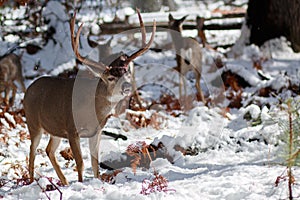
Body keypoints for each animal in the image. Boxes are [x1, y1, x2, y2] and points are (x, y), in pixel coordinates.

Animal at [24, 9, 156, 186]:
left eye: (126, 73)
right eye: (110, 78)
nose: (127, 86)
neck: (91, 110)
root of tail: (28, 89)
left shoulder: (96, 131)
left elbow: (95, 163)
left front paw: (96, 182)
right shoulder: (72, 129)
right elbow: (80, 162)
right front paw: (81, 184)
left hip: (55, 129)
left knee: (49, 150)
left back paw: (65, 182)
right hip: (33, 123)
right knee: (32, 152)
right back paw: (32, 181)